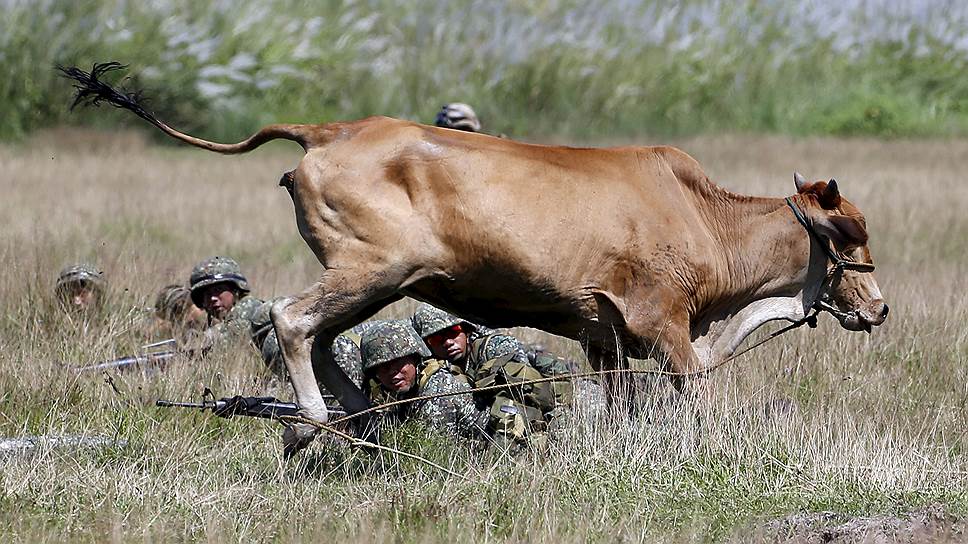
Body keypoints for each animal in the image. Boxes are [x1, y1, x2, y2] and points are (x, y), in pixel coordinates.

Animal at [64, 63, 888, 454]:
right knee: (294, 321)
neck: (704, 218)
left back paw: (361, 417)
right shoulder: (664, 326)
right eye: (849, 233)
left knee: (323, 336)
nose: (879, 307)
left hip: (373, 280)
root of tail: (330, 130)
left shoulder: (604, 336)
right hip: (370, 268)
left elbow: (621, 403)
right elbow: (695, 398)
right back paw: (318, 421)